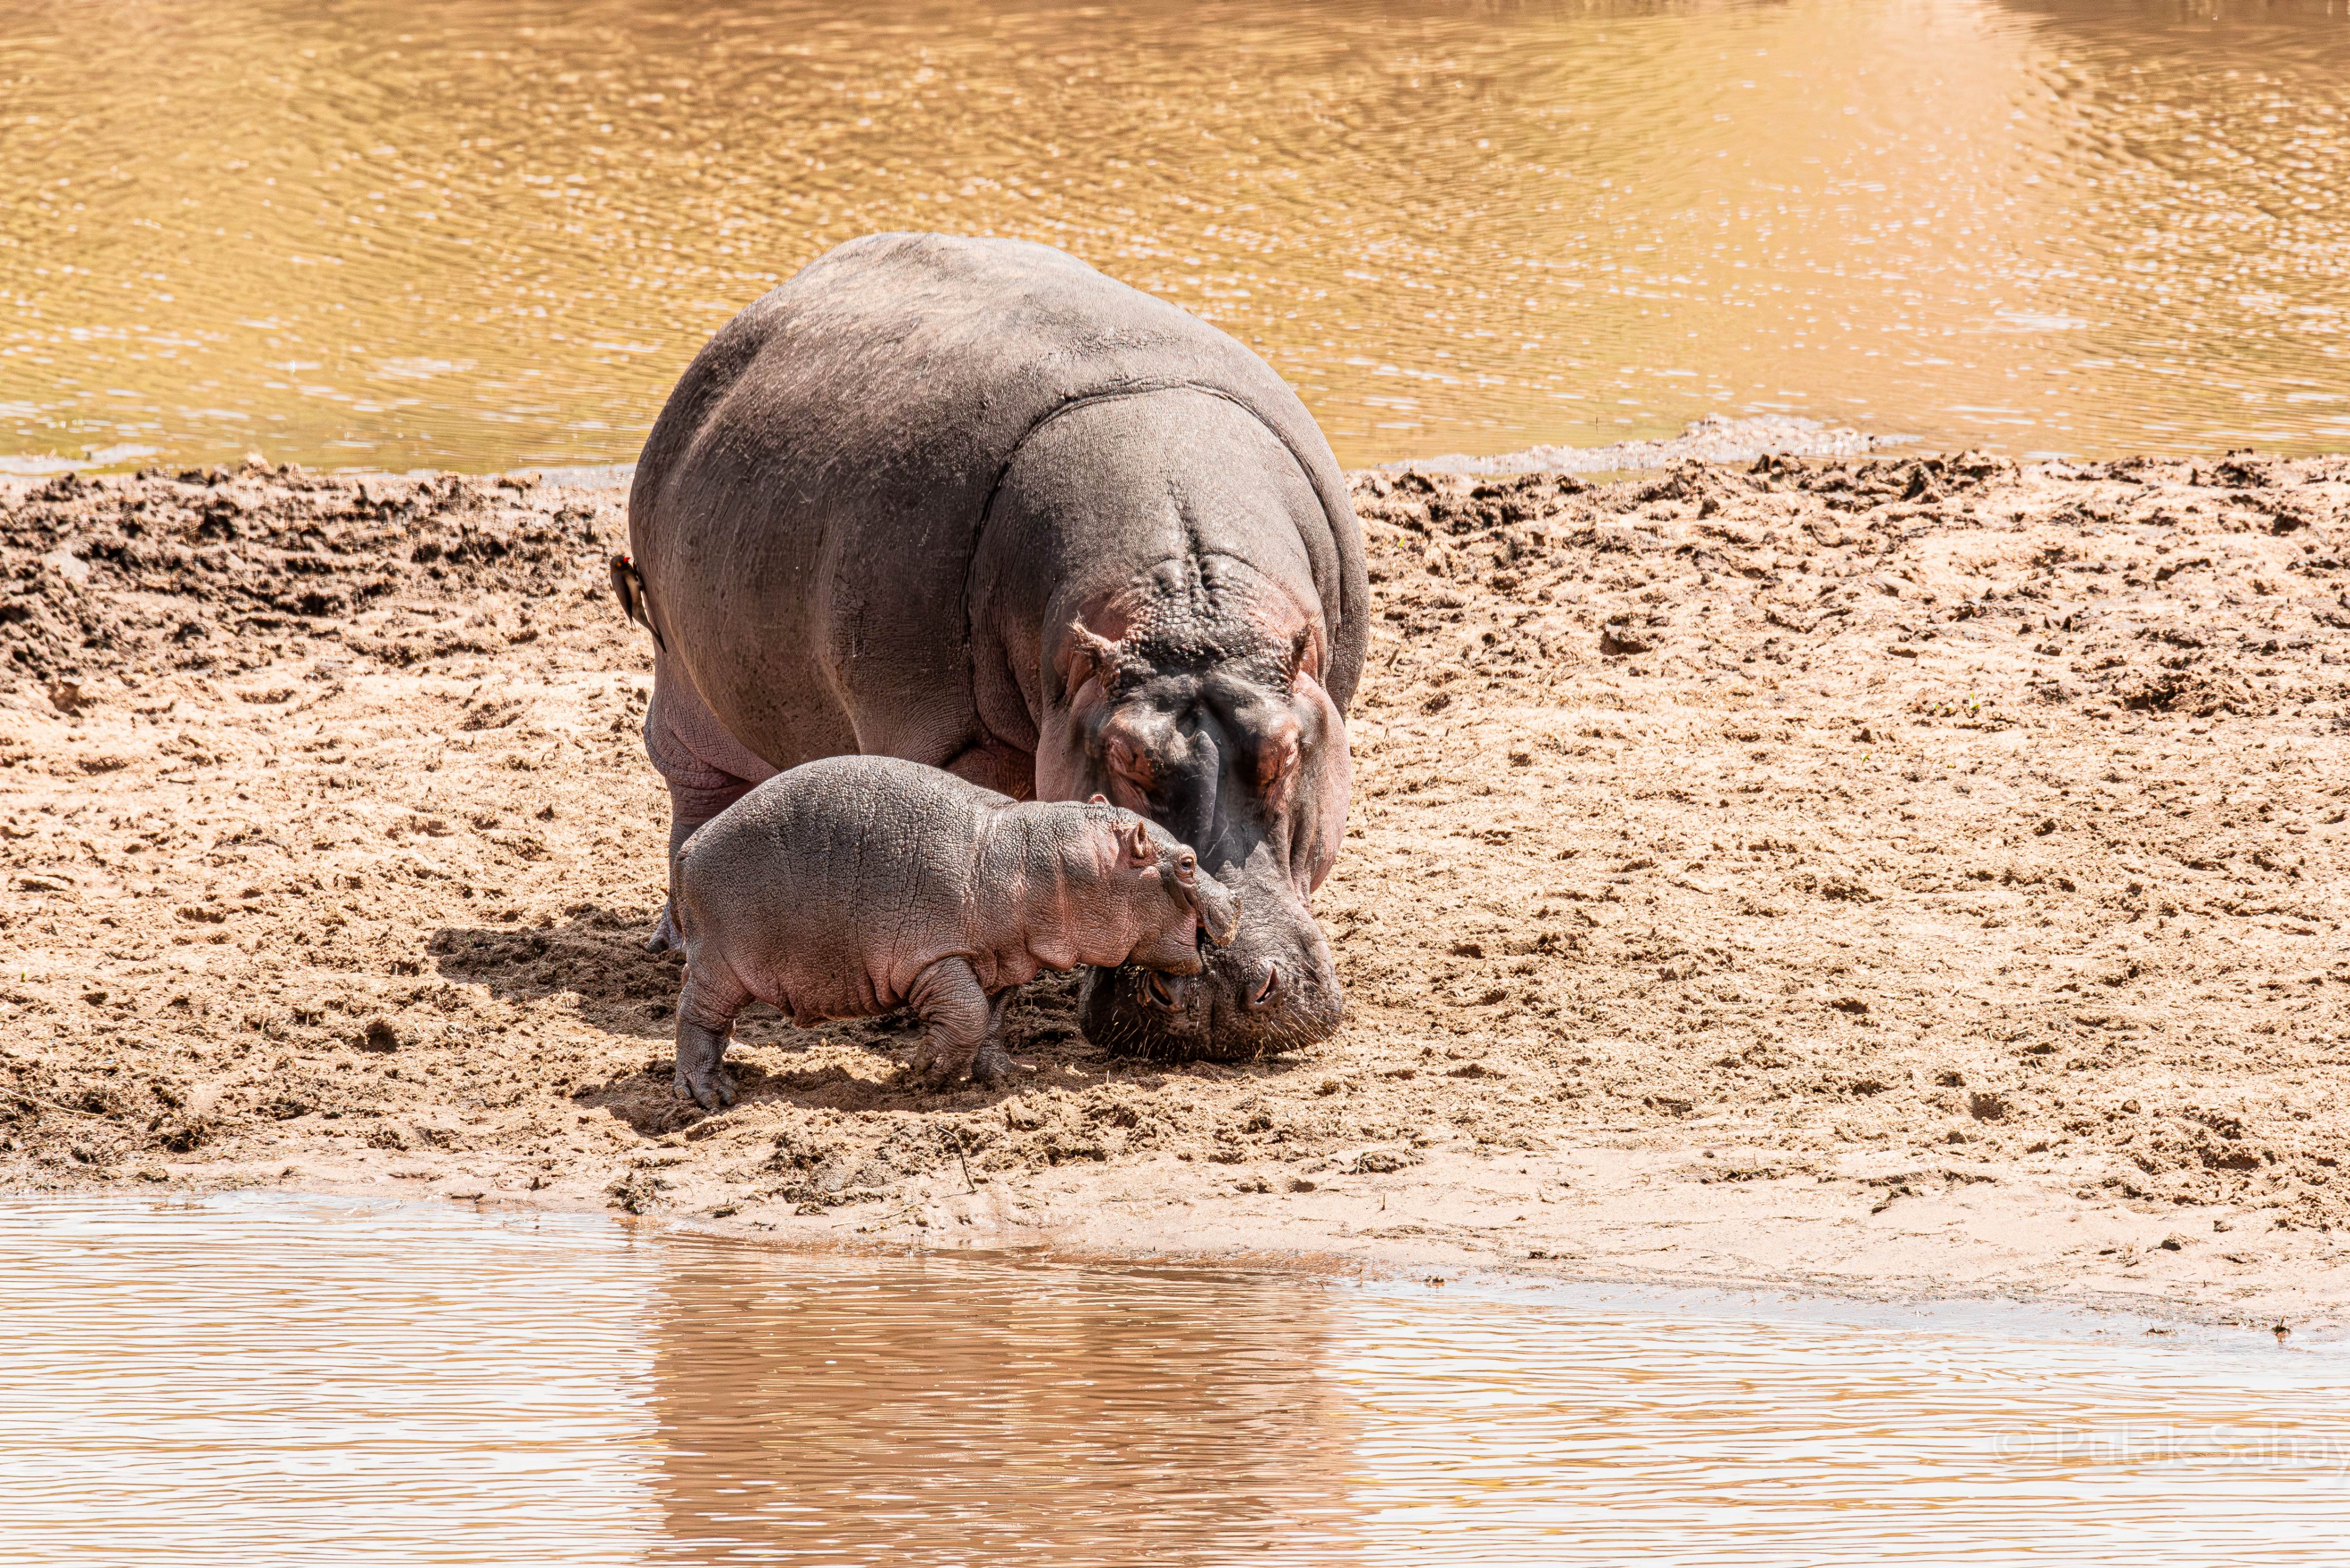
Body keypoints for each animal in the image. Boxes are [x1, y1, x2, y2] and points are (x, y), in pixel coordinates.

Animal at [622, 231, 1368, 1060]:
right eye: (1123, 755)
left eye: (1287, 752)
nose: (1212, 989)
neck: (1184, 601)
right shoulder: (937, 742)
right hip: (683, 684)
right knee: (696, 790)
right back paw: (678, 938)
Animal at [668, 756, 1240, 1107]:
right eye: (1188, 863)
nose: (1237, 900)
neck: (1048, 864)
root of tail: (691, 847)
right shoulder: (934, 956)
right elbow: (966, 1013)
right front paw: (924, 1070)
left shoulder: (1007, 961)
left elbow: (990, 1018)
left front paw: (1006, 1074)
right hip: (721, 964)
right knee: (696, 1016)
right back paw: (711, 1094)